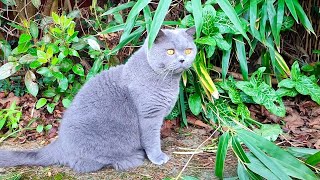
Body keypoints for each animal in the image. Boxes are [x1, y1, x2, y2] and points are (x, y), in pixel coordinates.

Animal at [0, 27, 198, 173]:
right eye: (170, 51)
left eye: (189, 50)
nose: (182, 59)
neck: (167, 81)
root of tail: (60, 143)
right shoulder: (149, 115)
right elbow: (151, 138)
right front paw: (158, 157)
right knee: (82, 164)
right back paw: (128, 159)